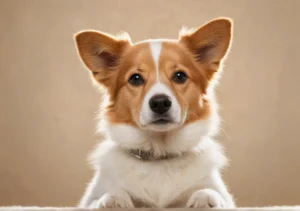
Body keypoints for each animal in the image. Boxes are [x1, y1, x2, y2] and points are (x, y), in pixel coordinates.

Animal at [74, 17, 234, 209]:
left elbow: (211, 192)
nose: (160, 103)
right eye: (135, 78)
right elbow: (105, 196)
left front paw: (206, 199)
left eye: (180, 76)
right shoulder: (91, 198)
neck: (159, 156)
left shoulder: (220, 193)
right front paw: (111, 200)